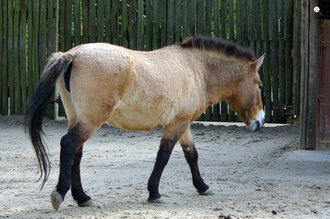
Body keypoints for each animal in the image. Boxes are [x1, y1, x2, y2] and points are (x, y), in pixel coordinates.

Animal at [26, 36, 266, 210]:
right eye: (260, 85)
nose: (260, 121)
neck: (196, 68)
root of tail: (72, 55)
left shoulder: (183, 123)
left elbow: (191, 155)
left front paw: (202, 186)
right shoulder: (176, 125)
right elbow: (163, 156)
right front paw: (154, 193)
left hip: (78, 118)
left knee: (76, 153)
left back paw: (83, 197)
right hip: (91, 120)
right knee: (68, 144)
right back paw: (60, 193)